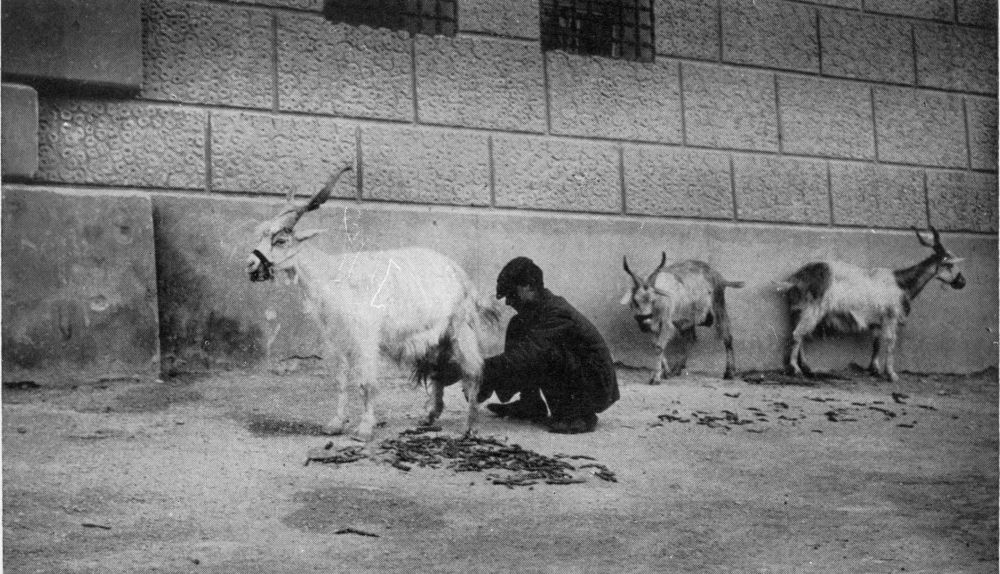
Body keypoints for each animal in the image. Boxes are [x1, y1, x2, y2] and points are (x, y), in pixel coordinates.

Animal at [245, 166, 503, 440]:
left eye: (280, 241)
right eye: (261, 236)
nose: (250, 264)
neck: (334, 276)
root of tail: (459, 272)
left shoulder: (366, 338)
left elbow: (366, 382)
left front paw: (364, 428)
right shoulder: (338, 340)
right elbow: (340, 381)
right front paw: (336, 424)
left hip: (461, 328)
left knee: (473, 371)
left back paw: (470, 427)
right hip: (436, 336)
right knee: (437, 370)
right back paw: (430, 415)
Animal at [621, 253, 744, 383]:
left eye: (653, 300)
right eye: (635, 300)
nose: (644, 320)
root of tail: (718, 276)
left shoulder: (666, 323)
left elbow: (659, 347)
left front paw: (655, 378)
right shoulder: (654, 327)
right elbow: (656, 345)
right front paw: (666, 372)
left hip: (718, 306)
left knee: (727, 337)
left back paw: (729, 372)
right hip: (687, 319)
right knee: (689, 339)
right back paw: (677, 368)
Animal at [777, 227, 966, 382]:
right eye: (949, 264)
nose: (962, 282)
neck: (901, 282)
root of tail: (796, 278)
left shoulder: (877, 321)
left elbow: (876, 343)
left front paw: (874, 369)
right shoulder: (891, 317)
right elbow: (890, 342)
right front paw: (891, 374)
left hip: (799, 310)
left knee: (800, 335)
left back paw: (806, 367)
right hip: (813, 309)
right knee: (797, 334)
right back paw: (795, 369)